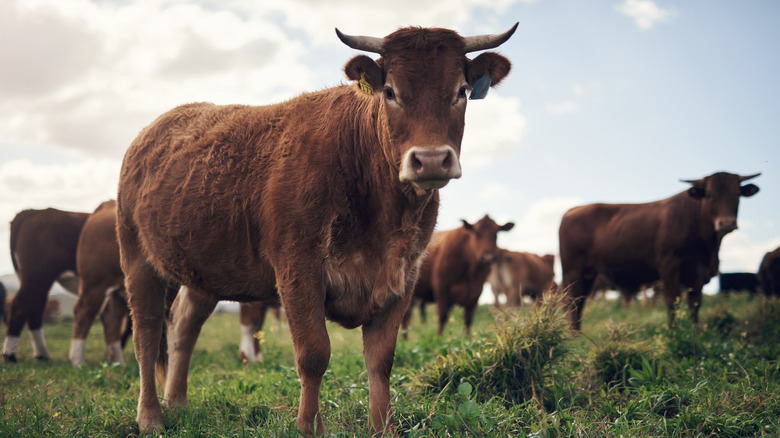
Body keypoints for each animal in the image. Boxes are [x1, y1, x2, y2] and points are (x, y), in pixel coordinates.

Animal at [2, 208, 88, 362]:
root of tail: (34, 211)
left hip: (39, 282)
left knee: (34, 309)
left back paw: (42, 355)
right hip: (36, 277)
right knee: (20, 306)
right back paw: (10, 355)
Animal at [69, 200, 133, 366]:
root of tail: (107, 204)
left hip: (119, 289)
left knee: (112, 318)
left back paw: (118, 362)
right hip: (95, 283)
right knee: (83, 312)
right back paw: (78, 361)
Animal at [115, 24, 517, 435]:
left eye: (461, 91)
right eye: (390, 92)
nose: (432, 159)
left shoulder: (403, 275)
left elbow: (381, 359)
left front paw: (383, 427)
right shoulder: (298, 269)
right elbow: (313, 354)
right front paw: (309, 427)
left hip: (206, 270)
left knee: (184, 325)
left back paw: (177, 402)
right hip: (137, 260)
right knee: (147, 333)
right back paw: (151, 416)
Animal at [559, 171, 760, 331]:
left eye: (737, 194)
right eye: (710, 195)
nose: (726, 223)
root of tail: (572, 211)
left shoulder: (698, 272)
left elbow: (695, 303)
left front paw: (696, 331)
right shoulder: (669, 265)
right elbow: (672, 300)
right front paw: (673, 332)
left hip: (589, 273)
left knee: (580, 302)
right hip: (574, 271)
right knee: (573, 301)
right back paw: (574, 336)